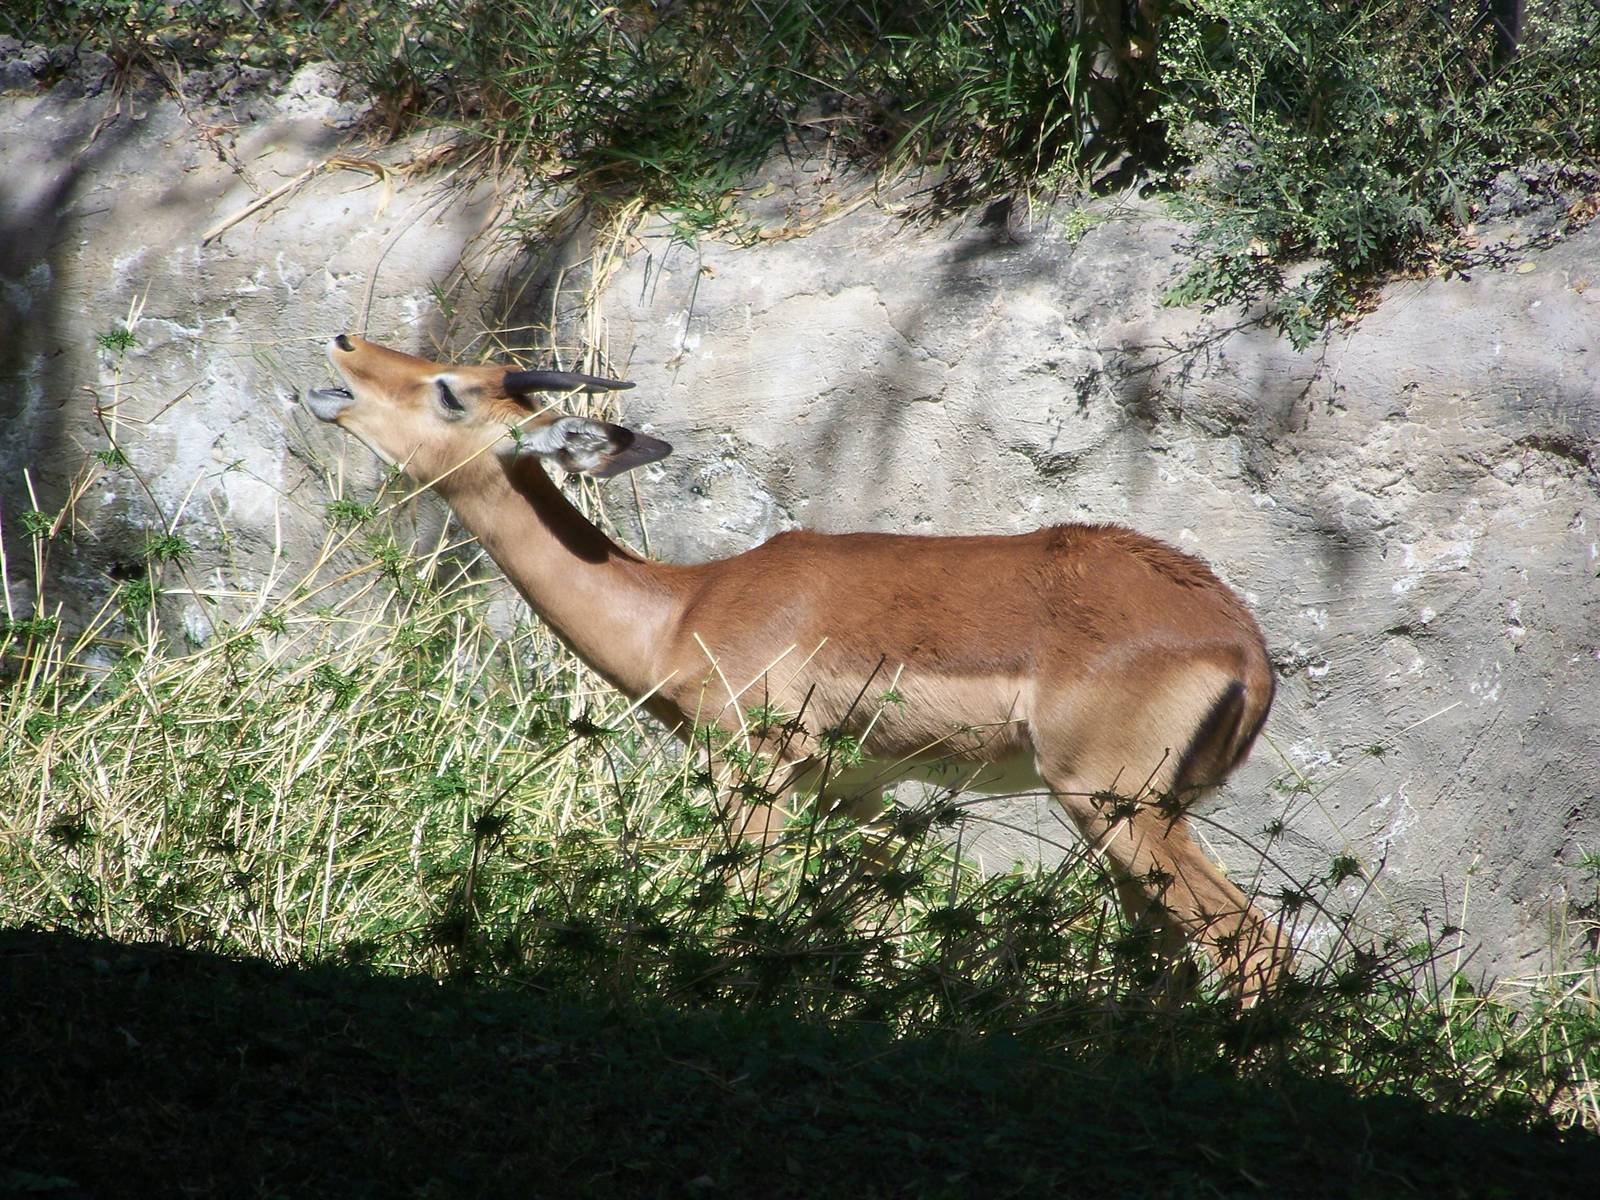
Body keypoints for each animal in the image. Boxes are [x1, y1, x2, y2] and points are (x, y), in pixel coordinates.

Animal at [305, 334, 1291, 1001]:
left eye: (451, 390)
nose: (345, 349)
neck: (684, 609)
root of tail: (1242, 643)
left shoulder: (753, 774)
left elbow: (740, 918)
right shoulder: (855, 795)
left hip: (1113, 804)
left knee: (1253, 944)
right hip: (1128, 824)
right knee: (1167, 961)